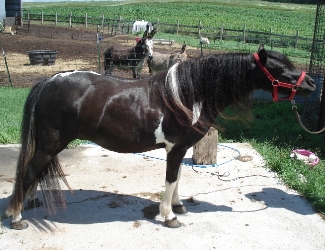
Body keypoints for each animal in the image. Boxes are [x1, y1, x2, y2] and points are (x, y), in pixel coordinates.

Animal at [5, 45, 314, 229]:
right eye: (278, 68)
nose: (311, 83)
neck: (188, 95)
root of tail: (48, 81)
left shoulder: (179, 149)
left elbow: (177, 179)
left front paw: (178, 206)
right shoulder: (175, 149)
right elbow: (169, 180)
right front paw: (169, 216)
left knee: (34, 172)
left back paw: (30, 202)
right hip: (51, 144)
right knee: (28, 171)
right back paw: (17, 217)